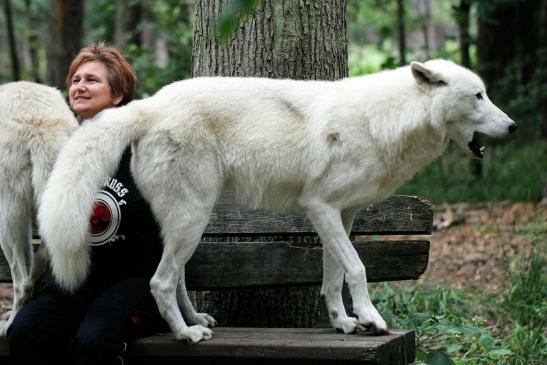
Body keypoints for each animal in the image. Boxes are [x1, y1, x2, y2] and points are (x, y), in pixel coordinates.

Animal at [38, 59, 520, 342]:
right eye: (478, 95)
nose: (513, 126)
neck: (385, 119)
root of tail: (149, 106)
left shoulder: (341, 215)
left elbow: (332, 278)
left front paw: (345, 323)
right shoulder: (322, 208)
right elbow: (358, 270)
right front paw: (373, 319)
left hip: (187, 221)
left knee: (174, 278)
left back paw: (196, 321)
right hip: (193, 217)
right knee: (159, 281)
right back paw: (186, 334)